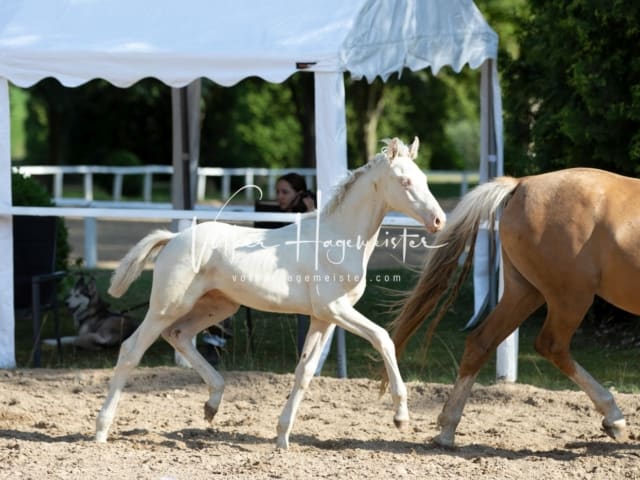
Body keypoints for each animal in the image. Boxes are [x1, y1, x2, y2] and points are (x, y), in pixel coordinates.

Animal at [96, 137, 444, 448]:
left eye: (426, 179)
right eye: (404, 180)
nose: (439, 220)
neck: (337, 239)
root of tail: (173, 238)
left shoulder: (323, 318)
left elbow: (305, 372)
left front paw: (282, 437)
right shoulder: (336, 309)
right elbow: (383, 338)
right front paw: (401, 417)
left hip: (218, 307)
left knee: (179, 335)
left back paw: (212, 404)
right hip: (167, 305)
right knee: (131, 350)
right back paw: (101, 429)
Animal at [390, 168, 640, 446]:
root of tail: (521, 184)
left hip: (525, 293)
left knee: (481, 342)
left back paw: (447, 429)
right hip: (570, 296)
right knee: (551, 345)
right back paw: (614, 418)